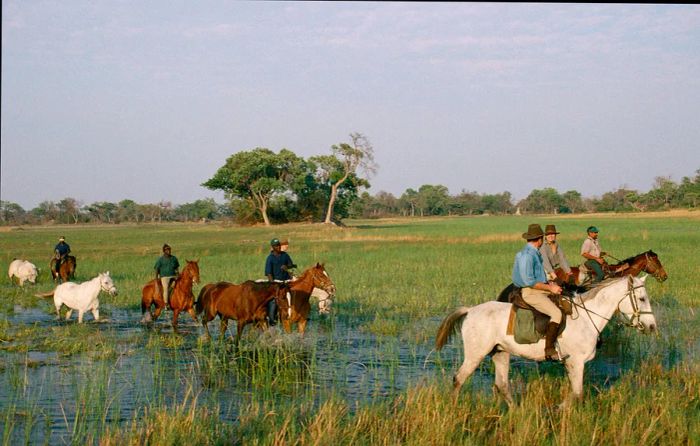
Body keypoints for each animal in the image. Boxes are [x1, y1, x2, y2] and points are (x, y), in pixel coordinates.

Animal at [434, 276, 660, 404]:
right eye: (642, 299)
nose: (652, 327)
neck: (587, 317)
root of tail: (471, 310)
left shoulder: (571, 364)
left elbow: (575, 393)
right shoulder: (576, 363)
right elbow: (577, 393)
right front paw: (560, 410)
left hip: (500, 353)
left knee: (502, 385)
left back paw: (516, 411)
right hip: (475, 354)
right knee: (459, 379)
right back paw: (454, 409)